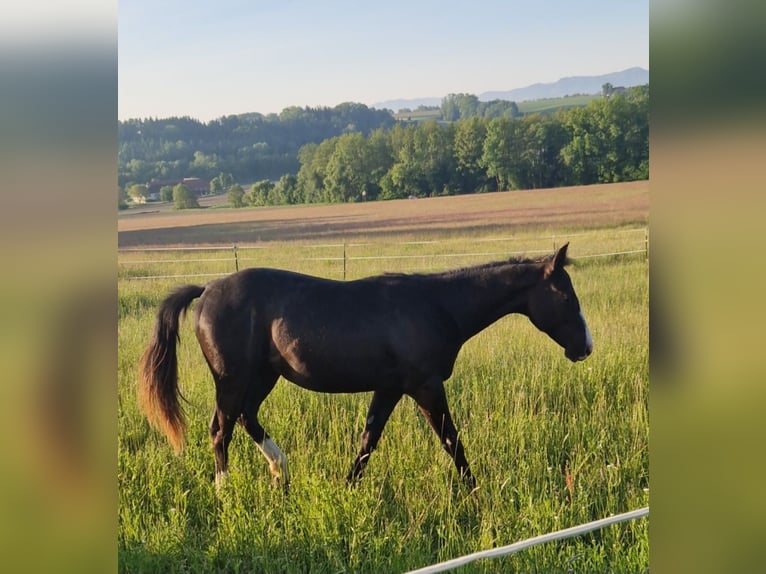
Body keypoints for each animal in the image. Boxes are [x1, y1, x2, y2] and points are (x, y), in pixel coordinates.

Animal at [138, 242, 592, 491]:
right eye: (567, 297)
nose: (585, 347)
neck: (436, 306)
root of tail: (207, 289)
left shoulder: (389, 388)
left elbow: (367, 441)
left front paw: (347, 490)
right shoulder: (426, 387)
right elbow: (452, 442)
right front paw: (476, 493)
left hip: (263, 376)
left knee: (247, 419)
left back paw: (281, 472)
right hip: (232, 380)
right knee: (221, 430)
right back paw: (225, 490)